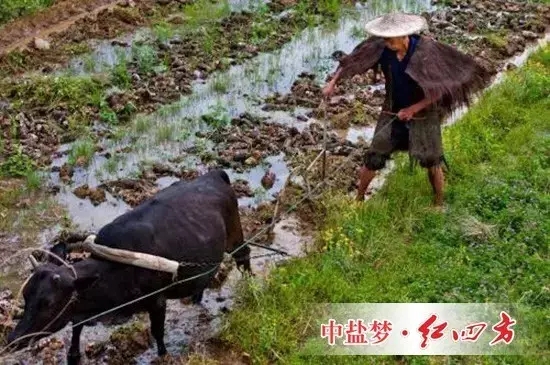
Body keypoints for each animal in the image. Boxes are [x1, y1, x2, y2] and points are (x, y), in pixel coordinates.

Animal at [5, 169, 252, 362]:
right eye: (26, 296)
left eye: (48, 303)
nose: (12, 339)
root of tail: (214, 175)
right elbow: (76, 331)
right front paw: (73, 354)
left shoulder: (157, 300)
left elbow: (158, 332)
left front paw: (163, 355)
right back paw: (196, 298)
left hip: (235, 235)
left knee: (244, 255)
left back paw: (251, 289)